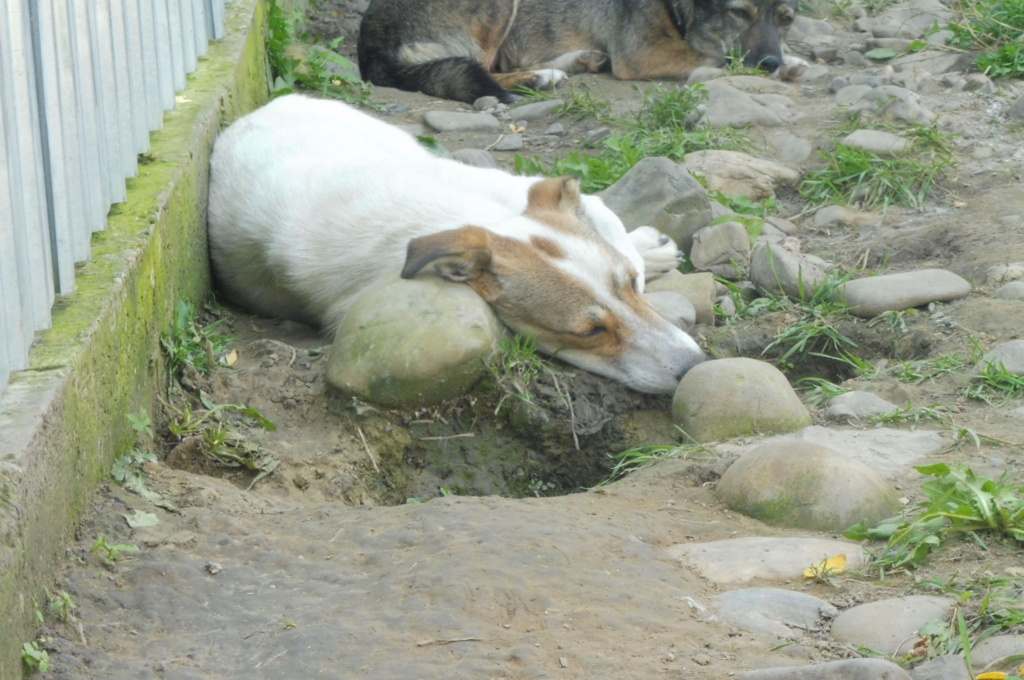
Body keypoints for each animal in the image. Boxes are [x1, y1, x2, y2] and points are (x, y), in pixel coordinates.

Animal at [207, 94, 704, 393]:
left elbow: (607, 219)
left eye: (632, 287)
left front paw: (644, 252)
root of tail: (262, 110)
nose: (694, 367)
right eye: (589, 332)